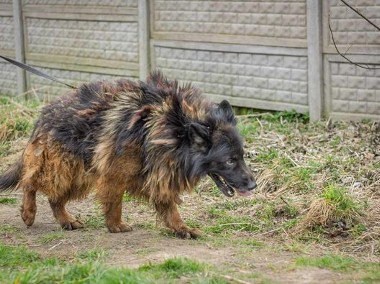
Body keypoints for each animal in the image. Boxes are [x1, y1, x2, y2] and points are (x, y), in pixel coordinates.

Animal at [0, 71, 256, 237]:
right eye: (229, 160)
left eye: (242, 156)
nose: (253, 185)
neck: (174, 128)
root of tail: (45, 114)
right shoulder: (114, 174)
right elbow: (115, 203)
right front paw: (115, 226)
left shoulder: (160, 171)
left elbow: (169, 207)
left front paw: (180, 228)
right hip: (62, 166)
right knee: (30, 181)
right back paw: (29, 212)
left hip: (78, 173)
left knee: (54, 197)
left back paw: (66, 220)